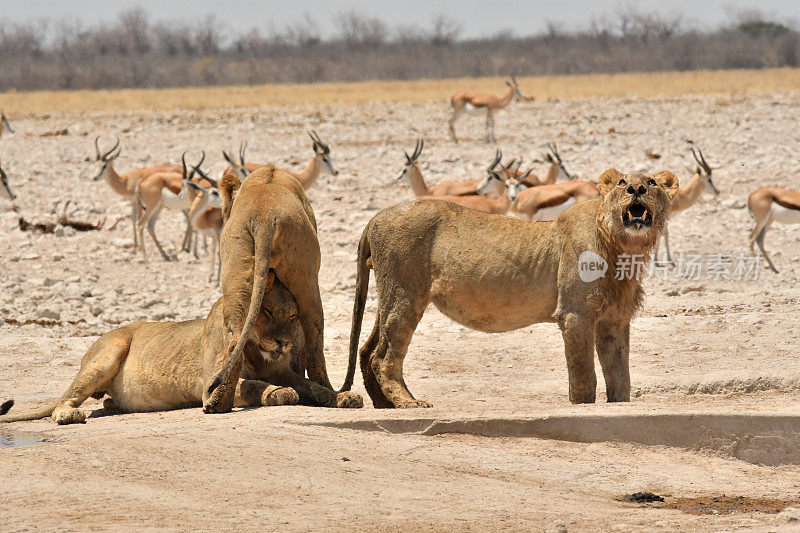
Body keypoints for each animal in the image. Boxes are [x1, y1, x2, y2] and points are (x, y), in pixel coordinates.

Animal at [0, 274, 362, 424]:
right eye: (268, 312)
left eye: (292, 316)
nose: (285, 342)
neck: (257, 349)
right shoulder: (209, 385)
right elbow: (252, 385)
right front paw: (279, 393)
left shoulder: (283, 368)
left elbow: (314, 386)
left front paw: (345, 396)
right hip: (107, 353)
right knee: (65, 399)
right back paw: (68, 415)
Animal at [206, 165, 332, 412]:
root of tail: (264, 216)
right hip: (306, 274)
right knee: (314, 333)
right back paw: (330, 390)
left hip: (237, 264)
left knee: (234, 336)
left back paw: (218, 403)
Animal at [340, 169, 680, 408]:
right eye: (623, 183)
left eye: (651, 182)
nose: (637, 190)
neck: (623, 248)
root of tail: (376, 217)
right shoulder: (575, 315)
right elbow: (584, 374)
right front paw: (582, 405)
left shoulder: (615, 319)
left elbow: (620, 374)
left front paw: (619, 403)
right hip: (405, 293)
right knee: (384, 357)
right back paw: (408, 403)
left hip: (393, 294)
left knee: (368, 350)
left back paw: (385, 404)